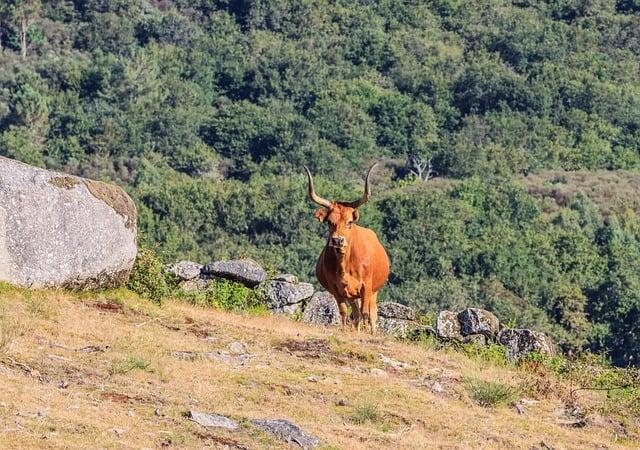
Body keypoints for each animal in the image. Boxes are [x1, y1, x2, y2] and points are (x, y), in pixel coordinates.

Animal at [304, 163, 390, 332]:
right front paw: (344, 330)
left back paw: (371, 331)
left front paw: (366, 333)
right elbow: (344, 311)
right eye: (329, 222)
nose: (338, 240)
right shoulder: (336, 289)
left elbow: (365, 313)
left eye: (349, 222)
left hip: (373, 291)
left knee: (371, 312)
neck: (345, 263)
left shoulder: (366, 287)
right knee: (355, 313)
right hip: (351, 294)